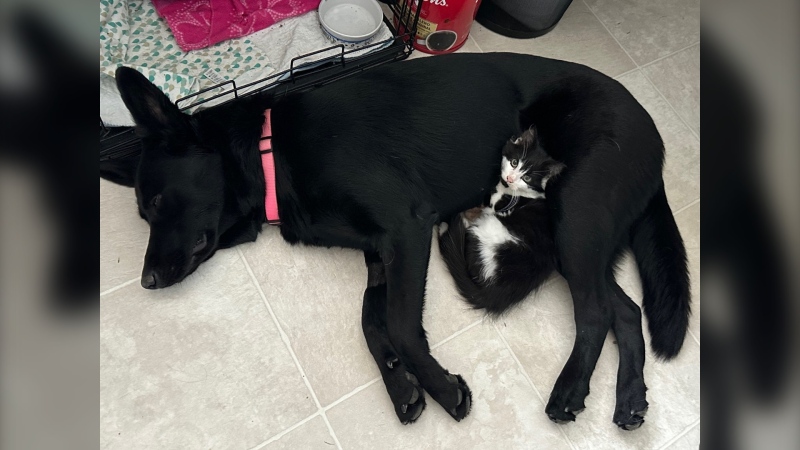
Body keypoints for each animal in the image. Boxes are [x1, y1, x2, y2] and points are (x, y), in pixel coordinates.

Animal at [438, 126, 564, 314]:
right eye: (514, 162)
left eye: (527, 178)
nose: (510, 179)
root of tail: (494, 292)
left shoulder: (496, 207)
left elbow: (487, 206)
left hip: (489, 233)